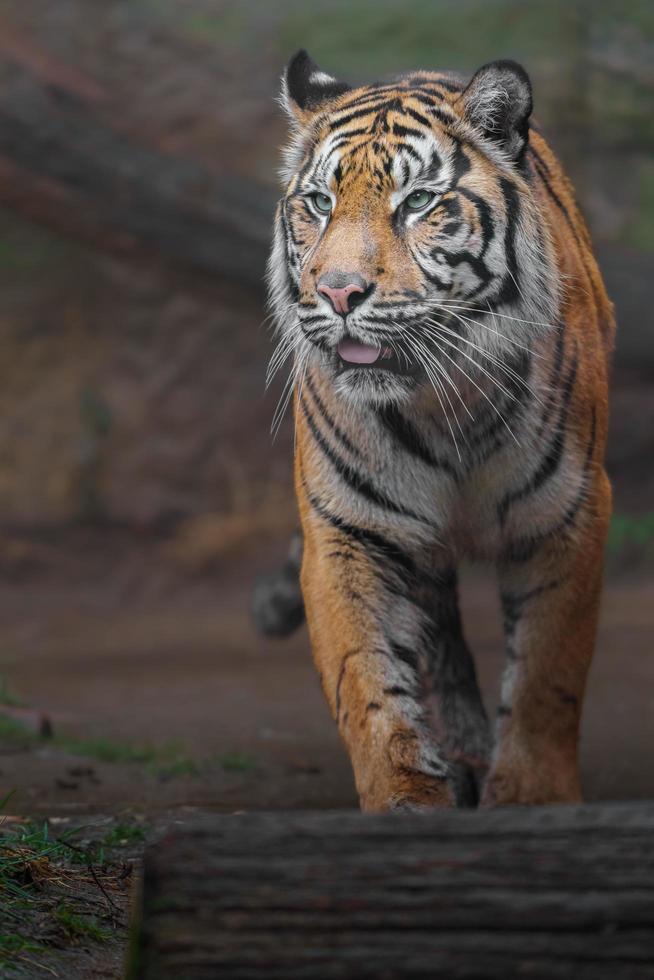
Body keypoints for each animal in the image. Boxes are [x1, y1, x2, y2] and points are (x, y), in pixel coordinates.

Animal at [254, 47, 616, 812]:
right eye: (320, 204)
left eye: (418, 201)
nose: (337, 292)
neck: (444, 407)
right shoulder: (349, 527)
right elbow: (369, 682)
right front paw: (407, 797)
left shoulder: (568, 515)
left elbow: (546, 674)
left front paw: (532, 795)